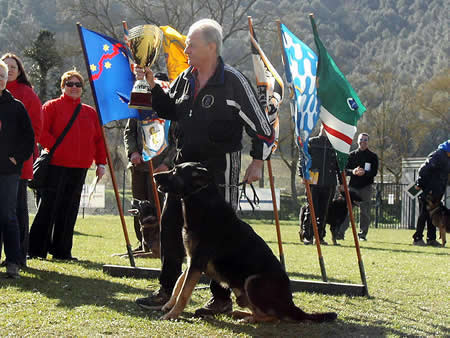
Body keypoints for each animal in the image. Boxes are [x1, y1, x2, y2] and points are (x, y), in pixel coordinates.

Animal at [153, 162, 336, 324]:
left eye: (175, 171)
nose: (154, 175)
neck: (202, 201)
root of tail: (291, 306)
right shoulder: (193, 260)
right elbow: (179, 283)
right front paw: (169, 305)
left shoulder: (198, 262)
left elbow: (184, 292)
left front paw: (172, 314)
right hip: (239, 291)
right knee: (261, 311)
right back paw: (240, 313)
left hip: (252, 282)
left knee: (273, 316)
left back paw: (247, 318)